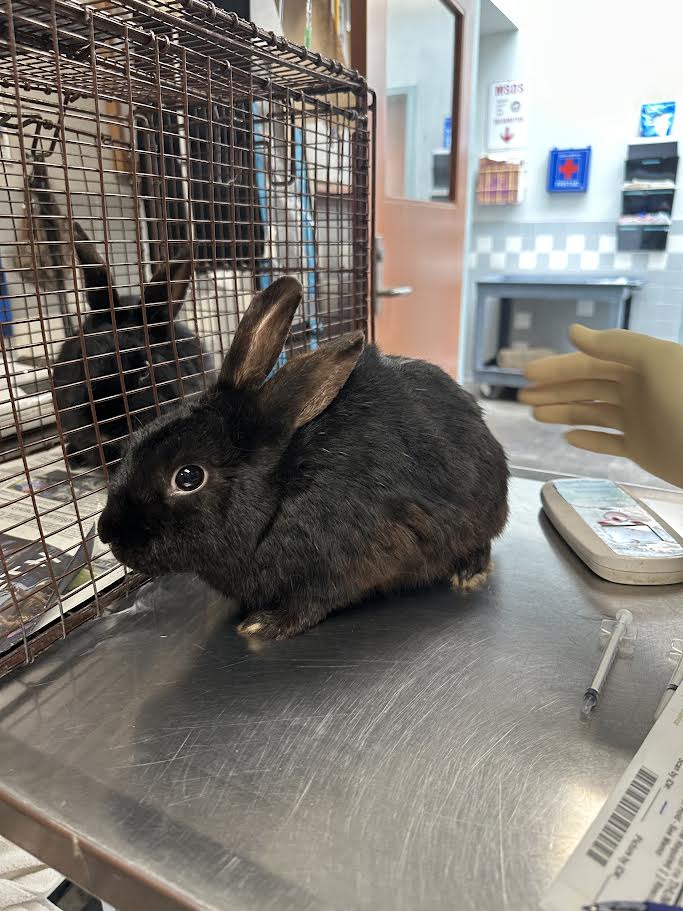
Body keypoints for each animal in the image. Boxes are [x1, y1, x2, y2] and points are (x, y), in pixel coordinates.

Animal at [99, 278, 510, 640]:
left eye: (187, 477)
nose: (107, 533)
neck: (280, 495)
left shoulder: (334, 568)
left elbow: (311, 605)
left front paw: (263, 626)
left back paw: (469, 573)